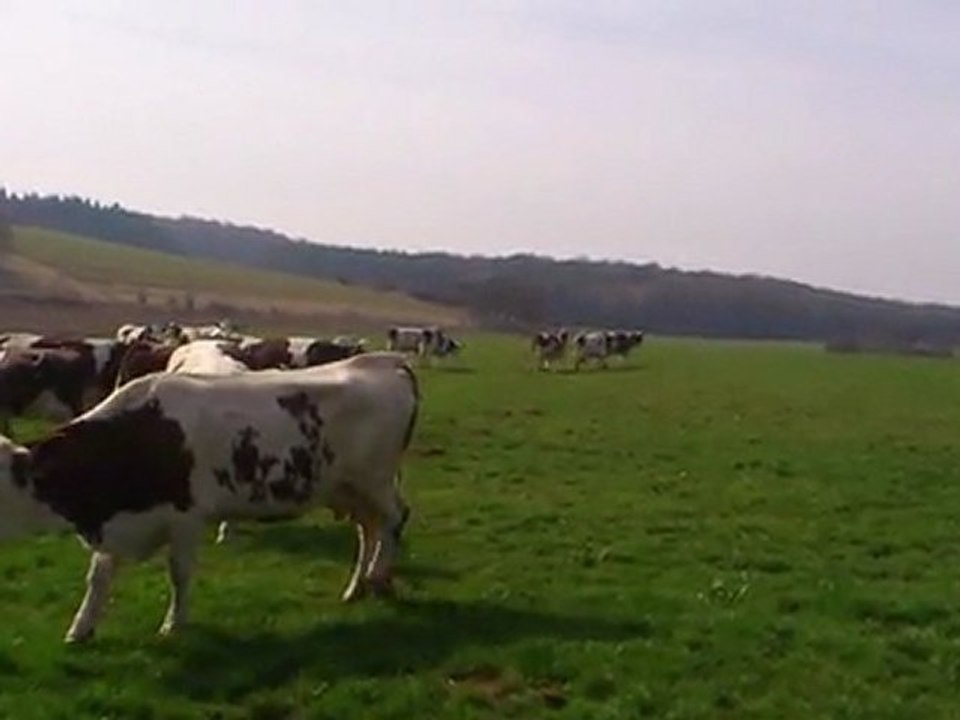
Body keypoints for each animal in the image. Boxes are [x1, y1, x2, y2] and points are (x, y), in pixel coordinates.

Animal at [0, 352, 419, 643]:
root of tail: (386, 360)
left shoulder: (185, 518)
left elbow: (179, 574)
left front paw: (174, 624)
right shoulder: (118, 520)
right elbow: (98, 578)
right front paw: (80, 628)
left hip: (376, 479)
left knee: (395, 519)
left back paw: (379, 577)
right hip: (349, 488)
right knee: (369, 528)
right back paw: (357, 587)